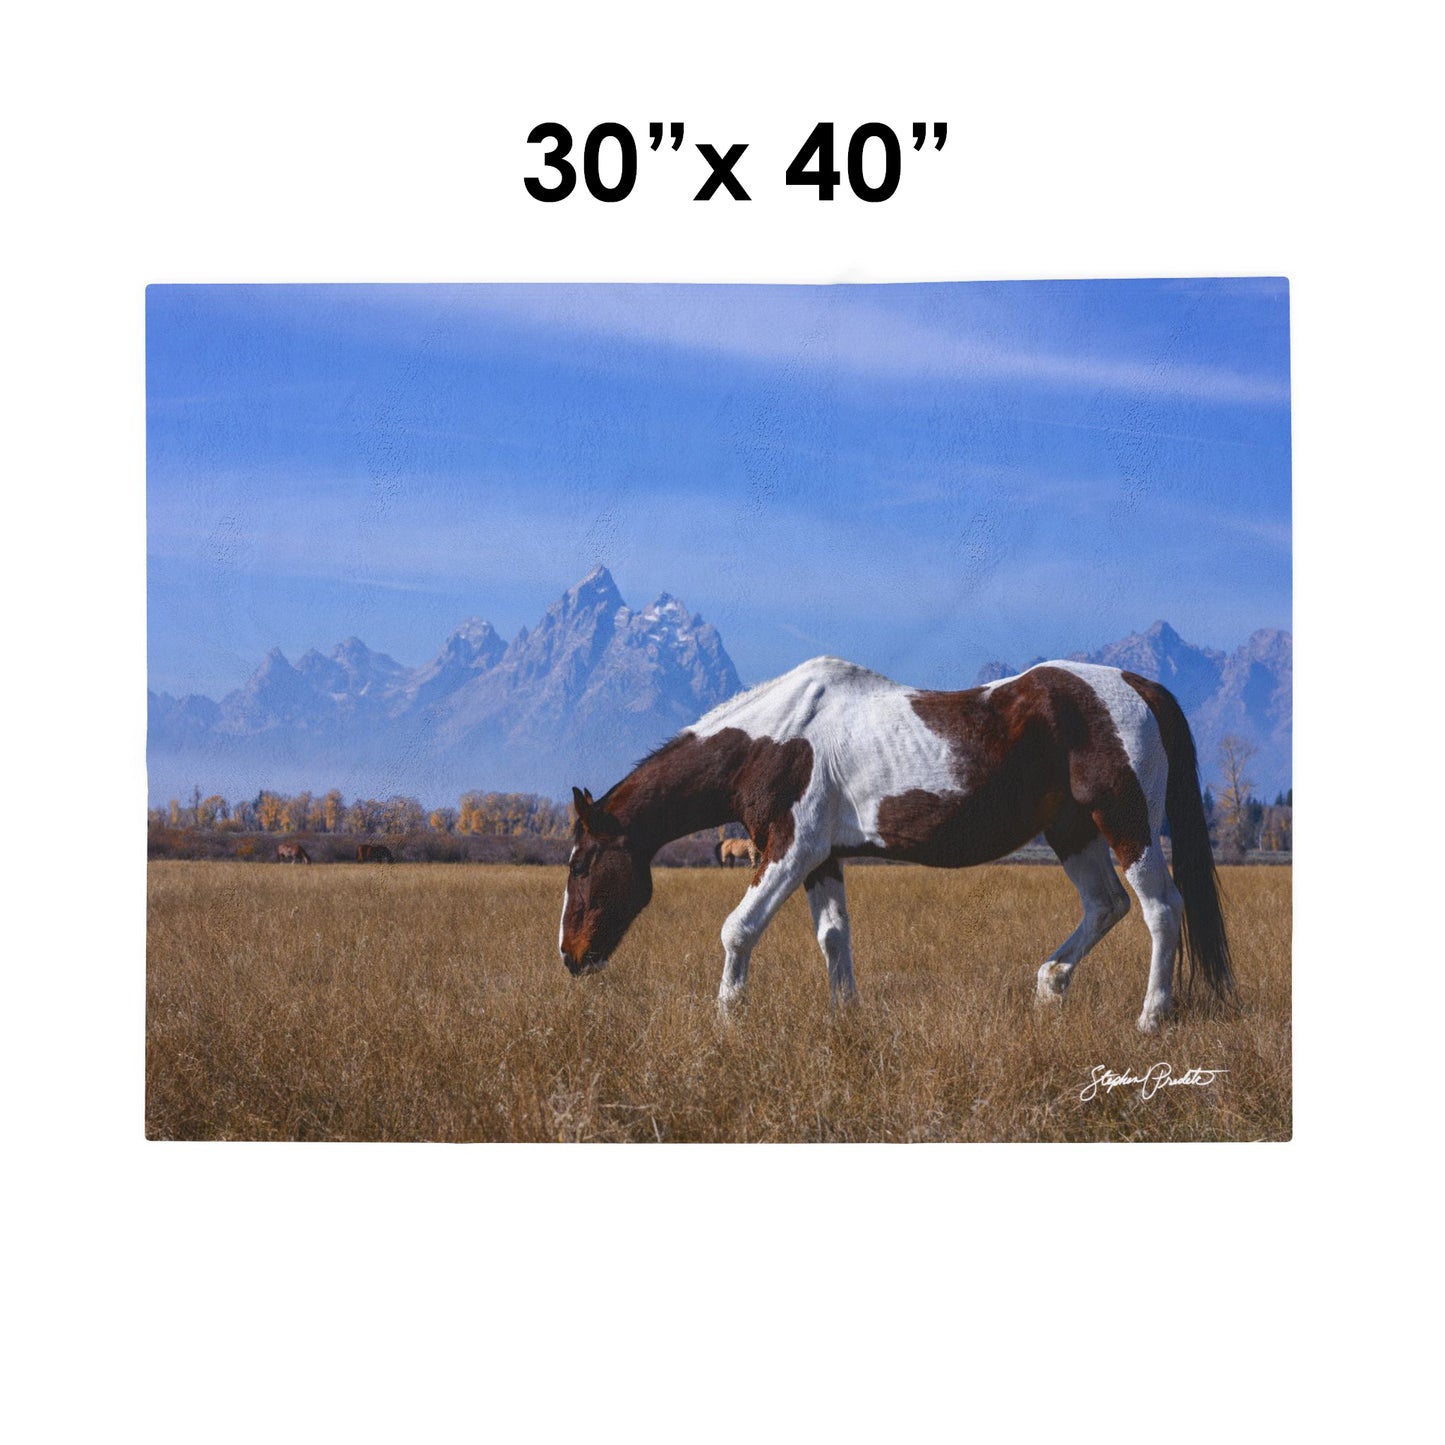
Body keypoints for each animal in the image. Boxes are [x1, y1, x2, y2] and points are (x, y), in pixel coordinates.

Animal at [558, 656, 1233, 1032]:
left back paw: (1150, 1019)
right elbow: (834, 937)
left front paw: (727, 1018)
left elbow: (738, 929)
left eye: (583, 864)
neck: (771, 740)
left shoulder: (789, 849)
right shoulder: (821, 858)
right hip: (1072, 832)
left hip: (1127, 824)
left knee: (1160, 909)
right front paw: (846, 1017)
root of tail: (1139, 686)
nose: (570, 956)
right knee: (1106, 906)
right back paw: (1051, 985)